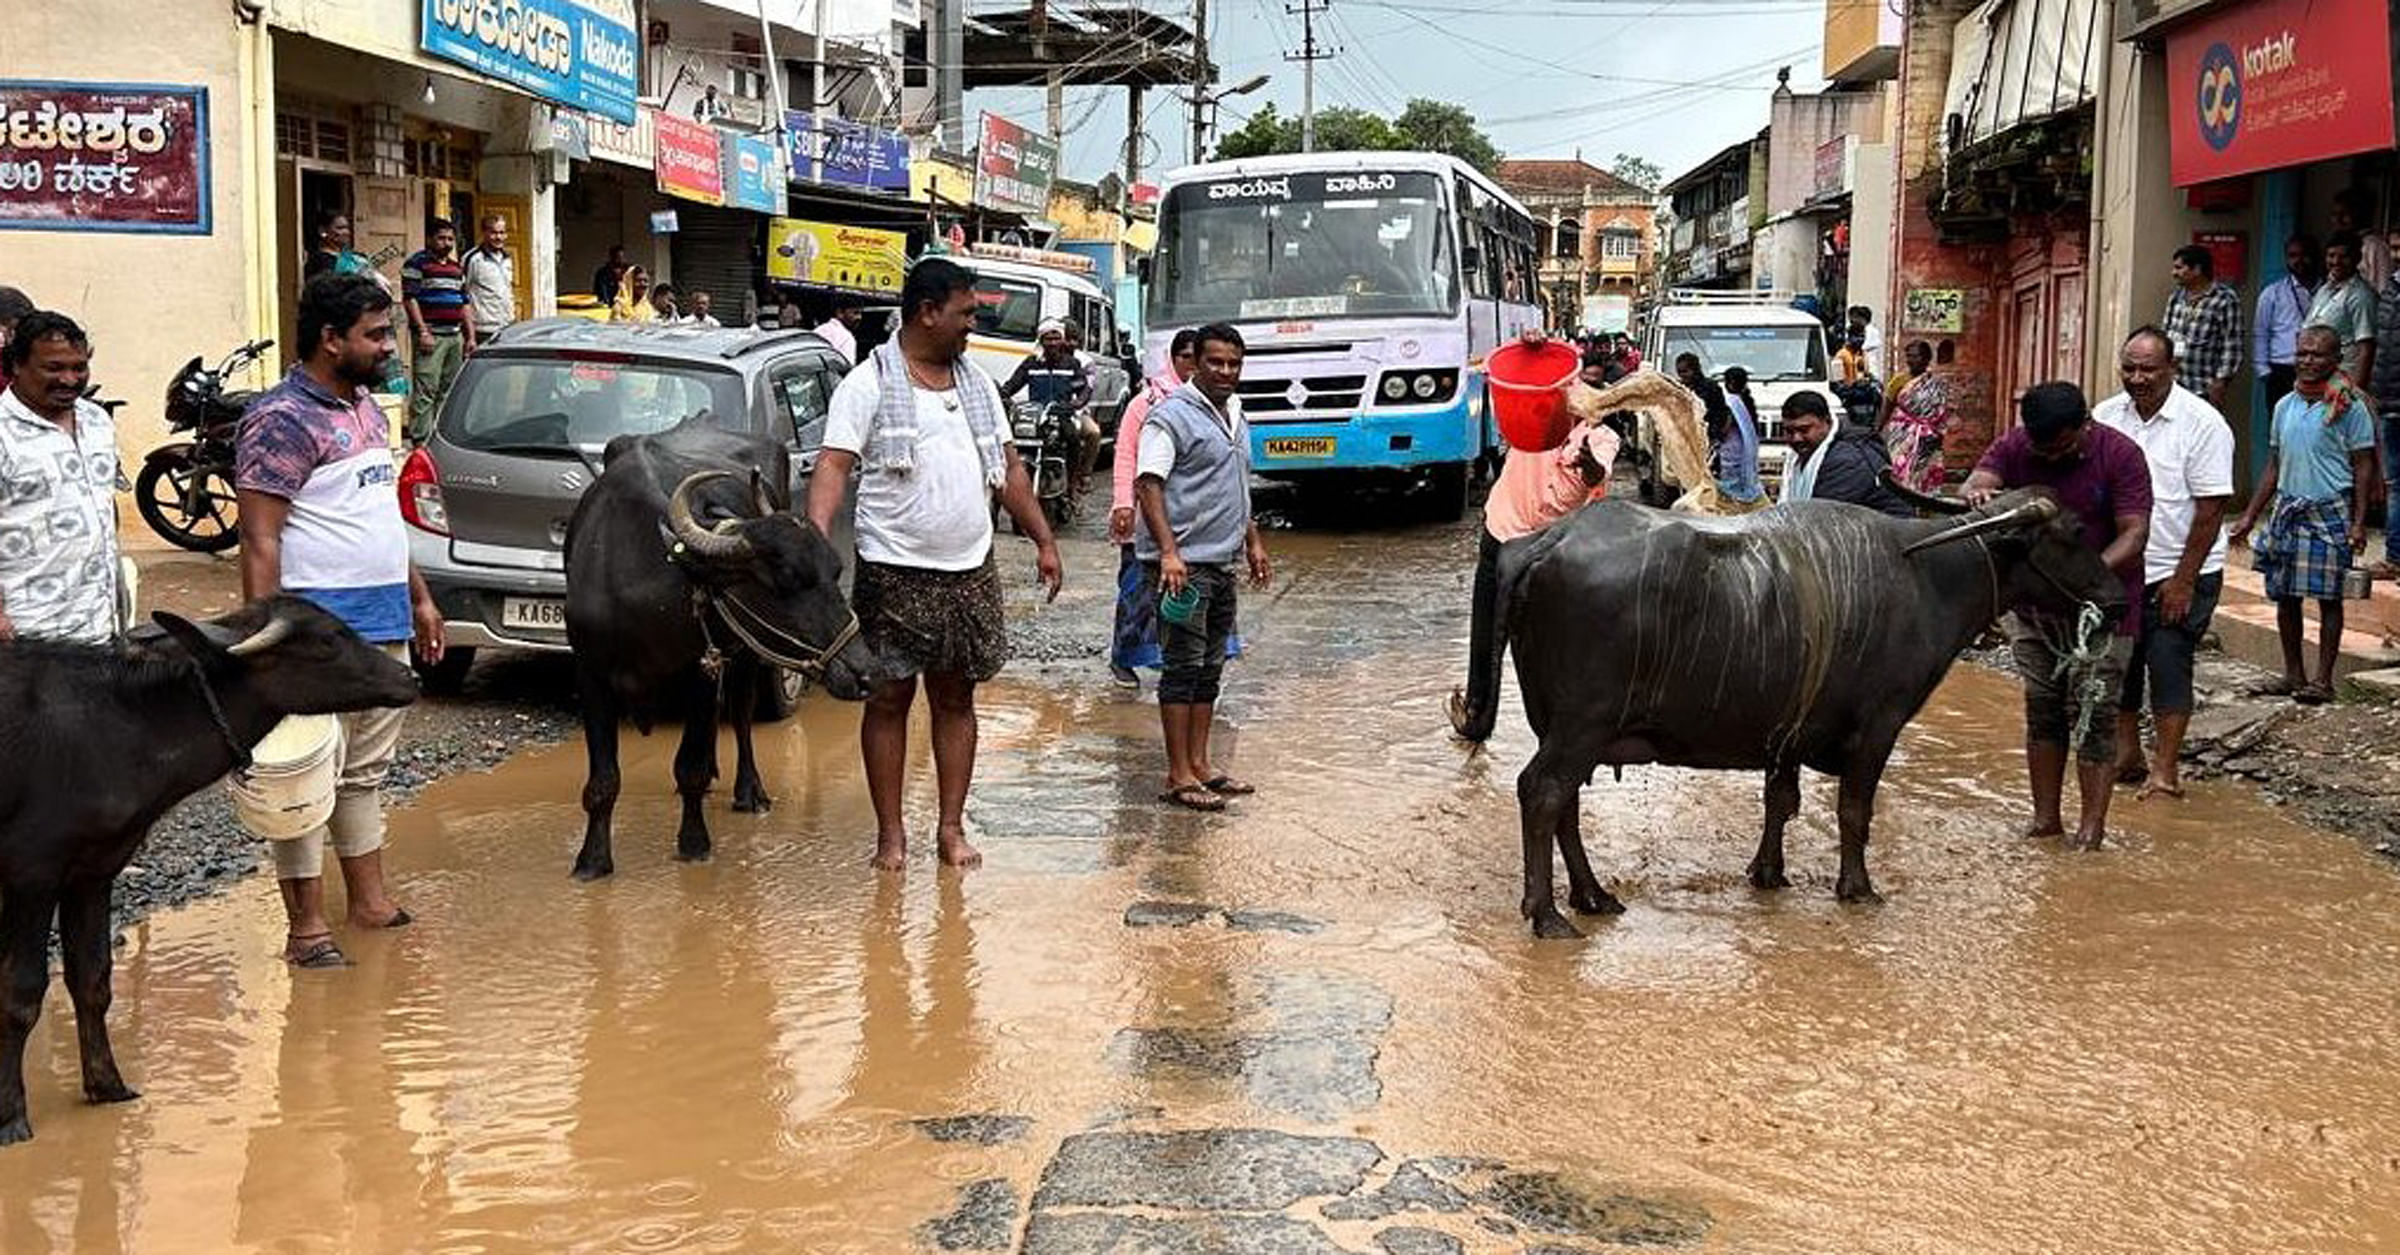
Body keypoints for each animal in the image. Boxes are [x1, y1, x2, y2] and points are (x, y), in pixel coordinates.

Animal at [0, 599, 417, 1147]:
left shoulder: (93, 872)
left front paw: (108, 1086)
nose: (411, 676)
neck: (120, 732)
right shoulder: (32, 873)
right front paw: (11, 1116)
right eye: (329, 639)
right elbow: (21, 993)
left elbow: (92, 980)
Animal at [1488, 491, 2131, 940]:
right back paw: (1548, 914)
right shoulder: (1878, 727)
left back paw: (1592, 896)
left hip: (1562, 725)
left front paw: (1768, 873)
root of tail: (1552, 540)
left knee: (1564, 802)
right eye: (2074, 532)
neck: (1928, 580)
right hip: (1583, 724)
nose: (2118, 597)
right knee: (1542, 791)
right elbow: (1854, 811)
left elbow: (1780, 801)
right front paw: (1858, 887)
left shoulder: (1788, 730)